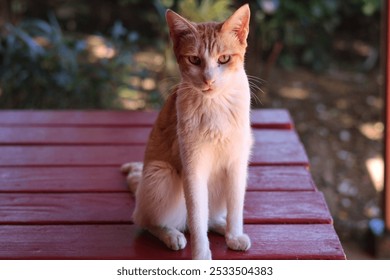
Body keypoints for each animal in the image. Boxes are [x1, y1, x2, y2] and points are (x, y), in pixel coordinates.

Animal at [122, 3, 253, 260]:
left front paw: (234, 235)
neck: (216, 106)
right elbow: (196, 218)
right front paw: (201, 254)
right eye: (194, 59)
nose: (209, 79)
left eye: (224, 59)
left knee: (211, 215)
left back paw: (221, 225)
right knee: (146, 220)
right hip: (161, 174)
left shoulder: (237, 165)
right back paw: (171, 234)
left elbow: (235, 207)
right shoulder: (193, 168)